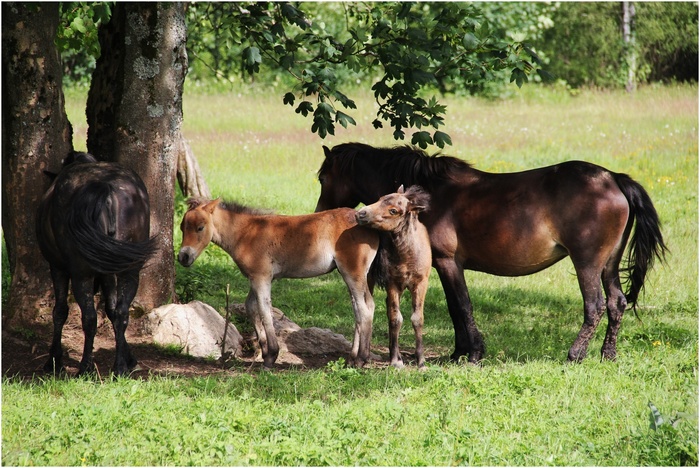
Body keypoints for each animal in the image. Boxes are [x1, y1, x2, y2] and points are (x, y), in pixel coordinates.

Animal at [36, 152, 156, 375]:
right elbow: (111, 309)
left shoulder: (57, 268)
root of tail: (105, 187)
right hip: (129, 271)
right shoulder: (107, 273)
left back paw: (85, 367)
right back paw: (119, 367)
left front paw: (54, 360)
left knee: (90, 317)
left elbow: (60, 311)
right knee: (122, 312)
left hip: (81, 274)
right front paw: (130, 358)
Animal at [177, 197, 380, 368]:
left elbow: (264, 310)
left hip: (352, 272)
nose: (183, 257)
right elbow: (251, 307)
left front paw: (271, 356)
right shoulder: (256, 278)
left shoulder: (261, 277)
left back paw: (361, 359)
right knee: (362, 307)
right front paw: (266, 352)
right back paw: (352, 358)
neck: (246, 233)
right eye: (181, 227)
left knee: (363, 309)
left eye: (200, 227)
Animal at [356, 185, 432, 369]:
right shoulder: (393, 284)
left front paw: (421, 361)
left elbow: (417, 318)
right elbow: (396, 318)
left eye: (393, 210)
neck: (408, 254)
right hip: (369, 279)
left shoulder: (421, 283)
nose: (361, 213)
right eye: (380, 198)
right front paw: (396, 361)